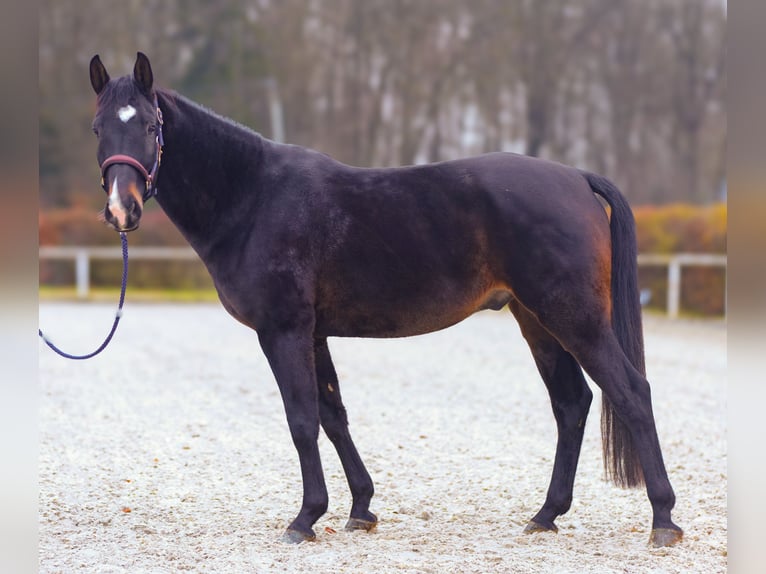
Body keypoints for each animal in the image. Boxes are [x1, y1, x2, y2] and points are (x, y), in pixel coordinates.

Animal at [88, 53, 684, 548]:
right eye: (97, 127)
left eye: (149, 126)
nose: (121, 210)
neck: (253, 197)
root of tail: (576, 179)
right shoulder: (314, 332)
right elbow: (333, 415)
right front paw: (360, 509)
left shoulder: (283, 329)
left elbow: (302, 419)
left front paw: (305, 518)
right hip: (537, 320)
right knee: (572, 404)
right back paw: (546, 514)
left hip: (575, 317)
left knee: (631, 393)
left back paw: (663, 519)